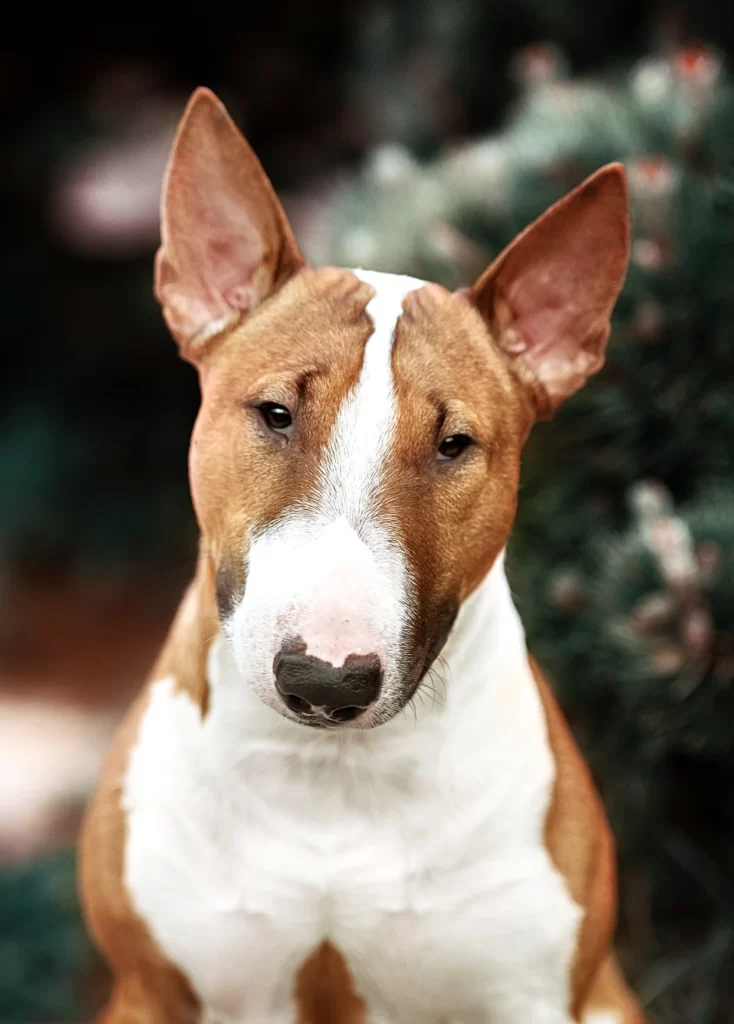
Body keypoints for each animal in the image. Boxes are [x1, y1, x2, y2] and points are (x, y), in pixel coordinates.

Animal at [77, 88, 642, 1024]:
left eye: (454, 444)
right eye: (274, 413)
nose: (326, 681)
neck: (329, 781)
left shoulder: (534, 992)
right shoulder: (152, 990)